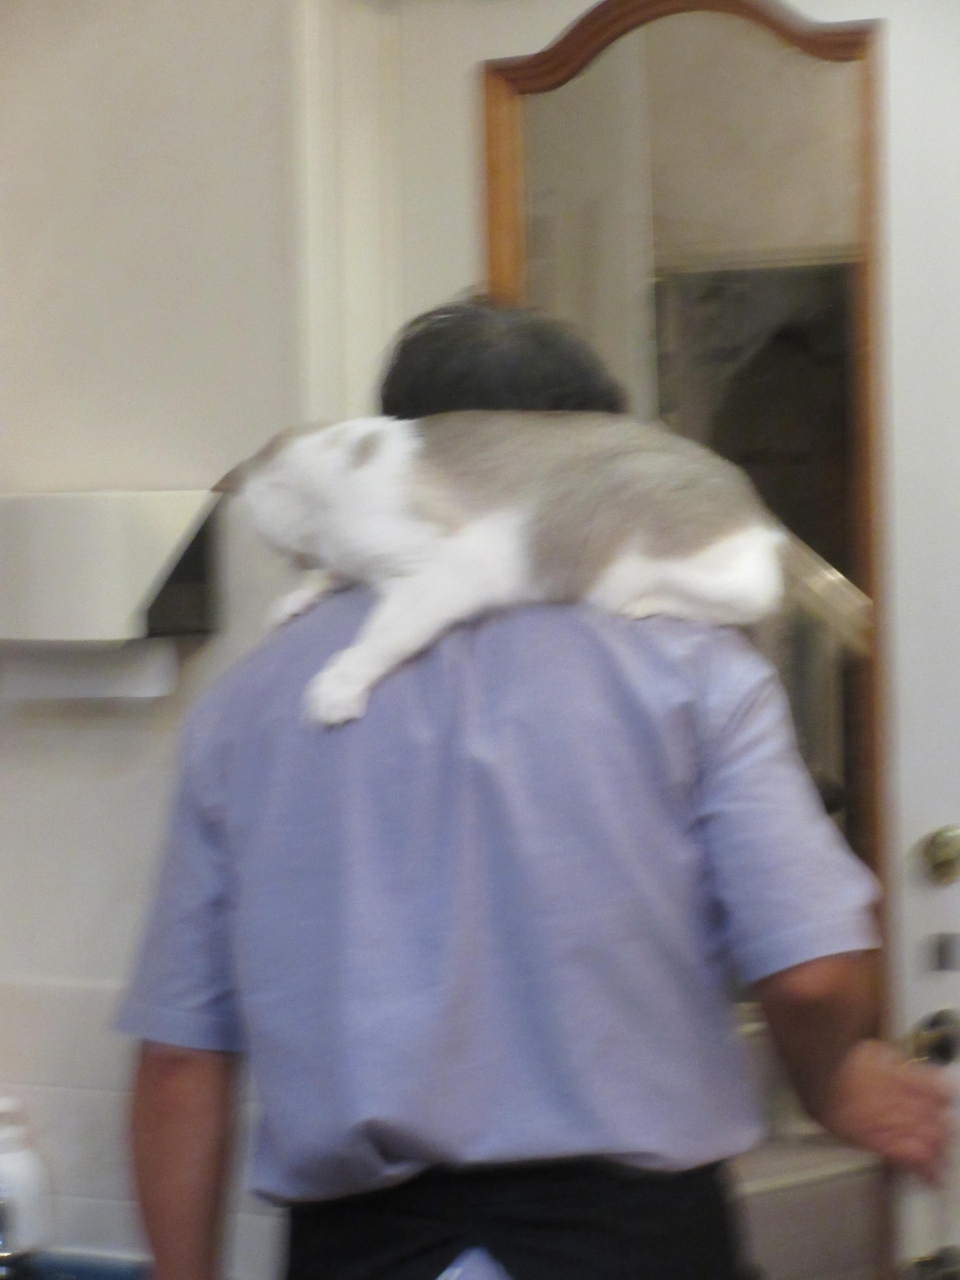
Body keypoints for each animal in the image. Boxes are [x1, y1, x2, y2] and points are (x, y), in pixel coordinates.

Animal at [218, 411, 786, 725]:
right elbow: (335, 577)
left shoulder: (443, 576)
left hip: (668, 556)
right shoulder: (358, 560)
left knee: (752, 596)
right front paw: (295, 598)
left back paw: (643, 603)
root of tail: (755, 504)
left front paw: (336, 685)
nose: (292, 560)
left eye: (283, 552)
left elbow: (380, 637)